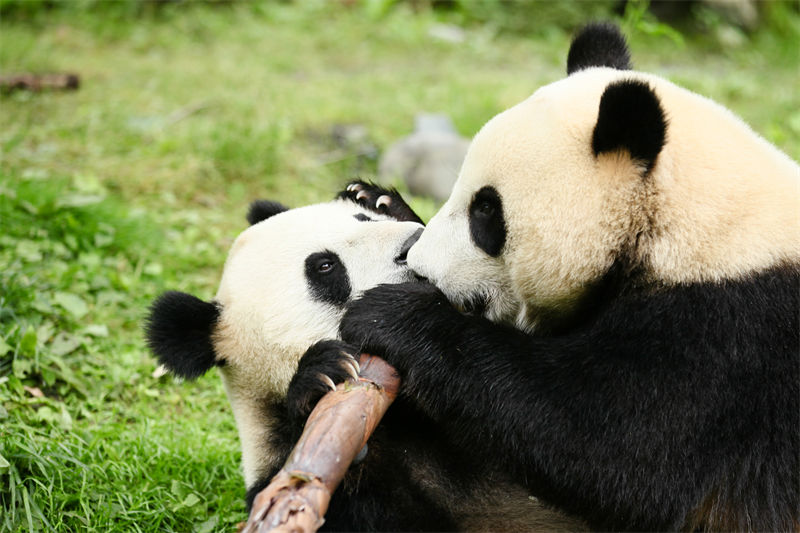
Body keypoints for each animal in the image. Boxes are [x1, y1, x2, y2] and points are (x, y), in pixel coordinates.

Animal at [144, 184, 584, 532]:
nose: (411, 246)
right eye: (325, 267)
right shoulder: (290, 476)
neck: (405, 422)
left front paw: (380, 197)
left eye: (361, 218)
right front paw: (320, 377)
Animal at [340, 22, 800, 528]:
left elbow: (613, 444)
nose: (421, 266)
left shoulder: (733, 338)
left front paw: (393, 316)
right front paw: (376, 200)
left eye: (486, 210)